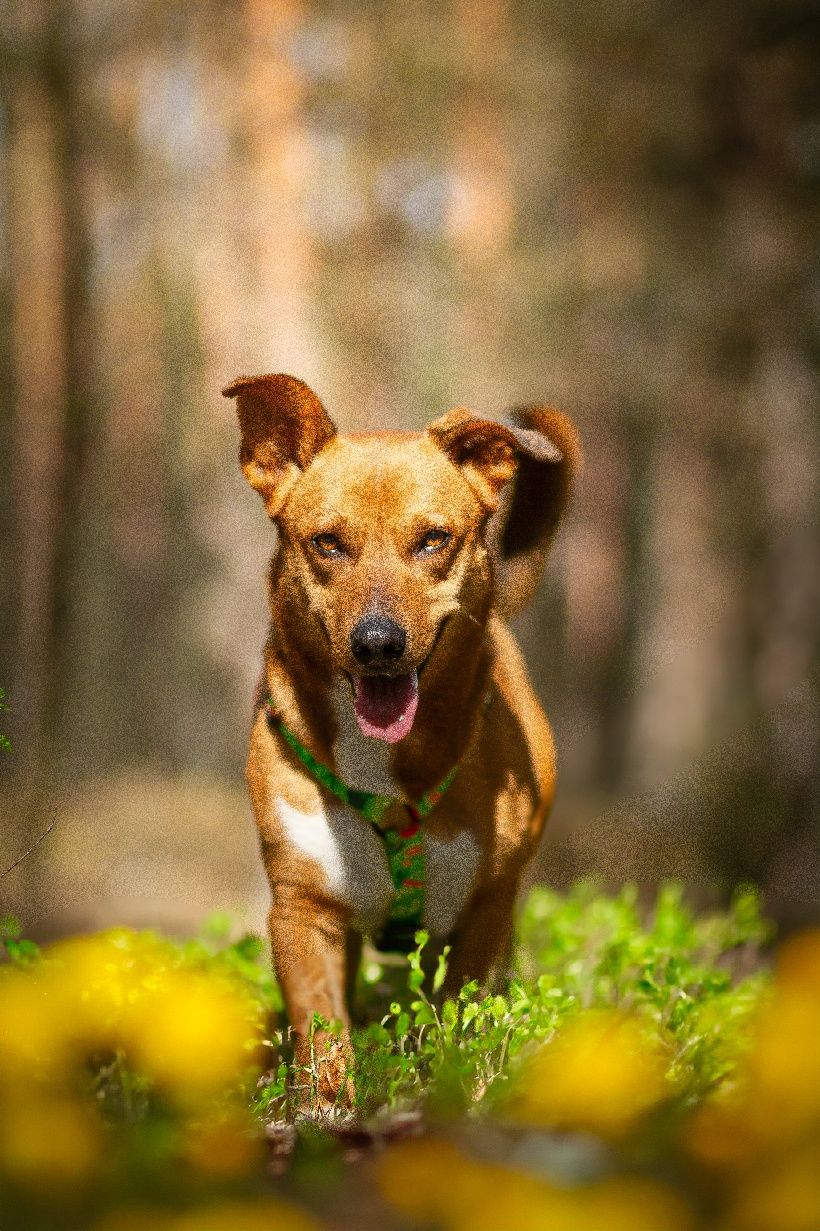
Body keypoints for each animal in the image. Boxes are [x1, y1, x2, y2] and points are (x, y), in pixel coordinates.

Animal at [220, 371, 578, 1107]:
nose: (378, 643)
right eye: (327, 542)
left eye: (434, 539)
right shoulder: (303, 907)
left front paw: (450, 1089)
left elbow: (460, 1016)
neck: (384, 771)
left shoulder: (484, 910)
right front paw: (326, 1110)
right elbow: (321, 1024)